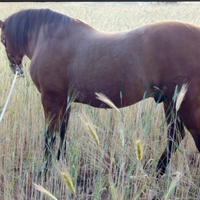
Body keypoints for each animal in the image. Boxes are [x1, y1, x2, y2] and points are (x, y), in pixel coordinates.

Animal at [0, 8, 200, 176]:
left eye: (2, 39)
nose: (15, 68)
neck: (47, 38)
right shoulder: (65, 101)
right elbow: (63, 131)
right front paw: (61, 162)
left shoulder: (51, 100)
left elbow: (50, 136)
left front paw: (44, 171)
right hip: (170, 102)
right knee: (175, 135)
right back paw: (158, 171)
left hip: (186, 105)